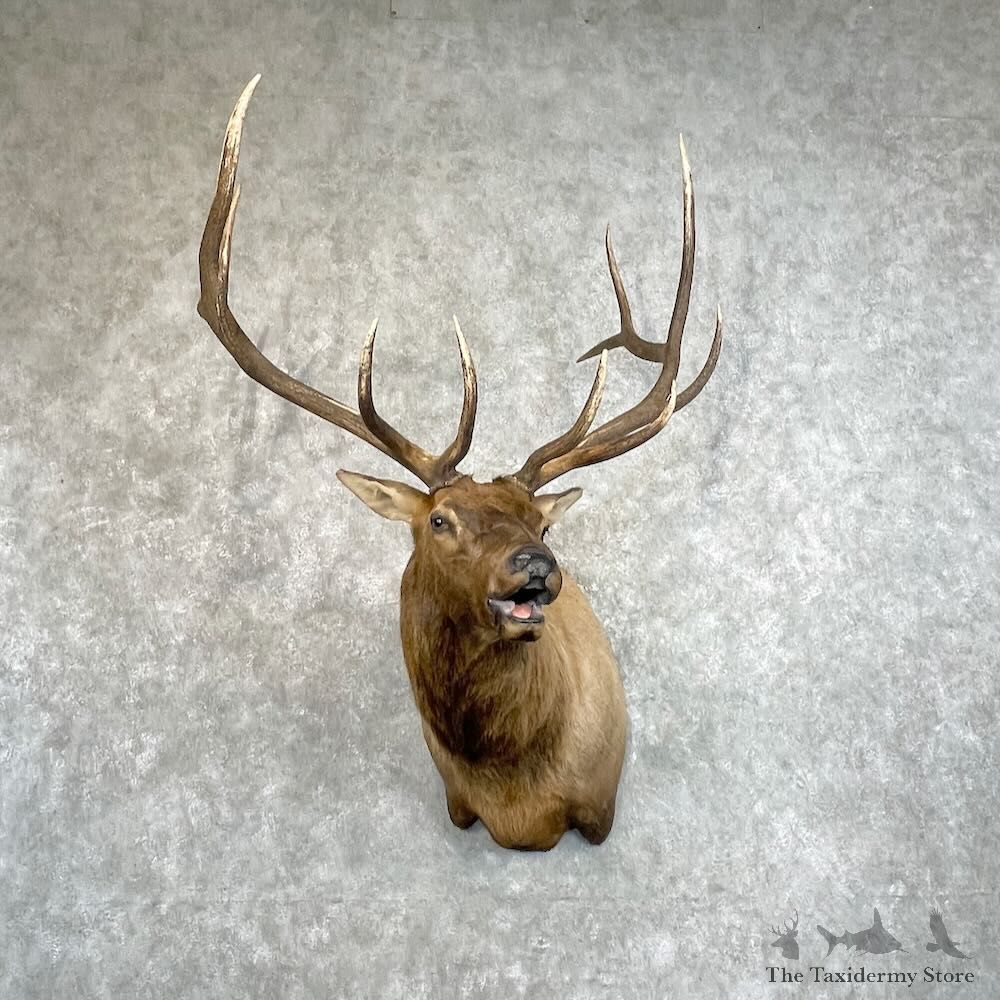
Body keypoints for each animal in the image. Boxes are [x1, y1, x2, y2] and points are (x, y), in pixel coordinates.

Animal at [197, 76, 723, 851]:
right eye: (439, 520)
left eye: (543, 522)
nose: (536, 565)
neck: (517, 802)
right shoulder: (457, 801)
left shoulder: (600, 807)